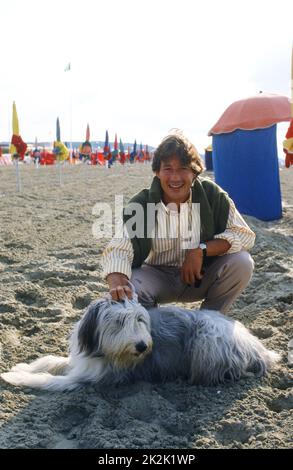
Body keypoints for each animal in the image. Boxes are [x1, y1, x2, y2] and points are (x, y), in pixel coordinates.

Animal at [0, 298, 278, 392]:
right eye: (119, 321)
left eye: (141, 320)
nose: (143, 347)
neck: (104, 353)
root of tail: (258, 348)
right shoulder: (84, 361)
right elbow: (51, 361)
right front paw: (23, 366)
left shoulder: (93, 379)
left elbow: (50, 380)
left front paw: (14, 376)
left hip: (208, 337)